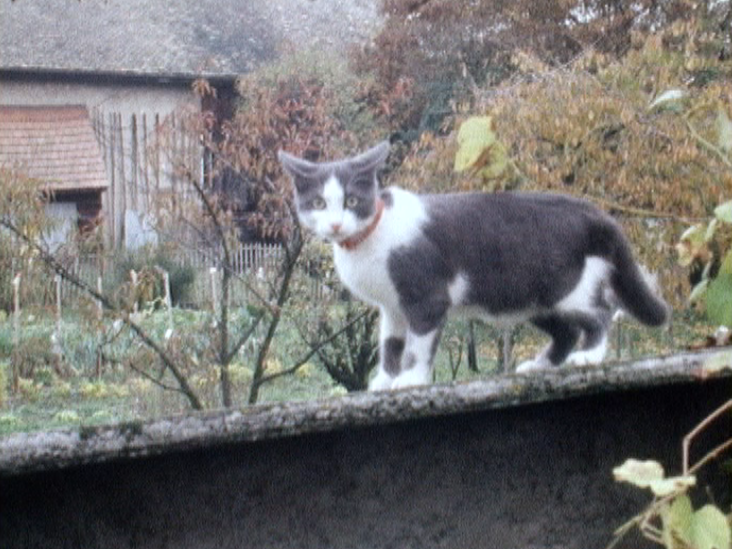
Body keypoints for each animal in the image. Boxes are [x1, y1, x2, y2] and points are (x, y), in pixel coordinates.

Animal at [278, 141, 668, 390]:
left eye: (352, 201)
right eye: (318, 203)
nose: (335, 225)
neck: (370, 237)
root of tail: (592, 212)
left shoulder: (426, 295)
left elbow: (417, 345)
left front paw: (409, 380)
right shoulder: (392, 307)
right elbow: (390, 344)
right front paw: (385, 379)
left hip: (564, 285)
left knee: (600, 312)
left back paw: (589, 357)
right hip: (530, 296)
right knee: (566, 330)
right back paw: (540, 365)